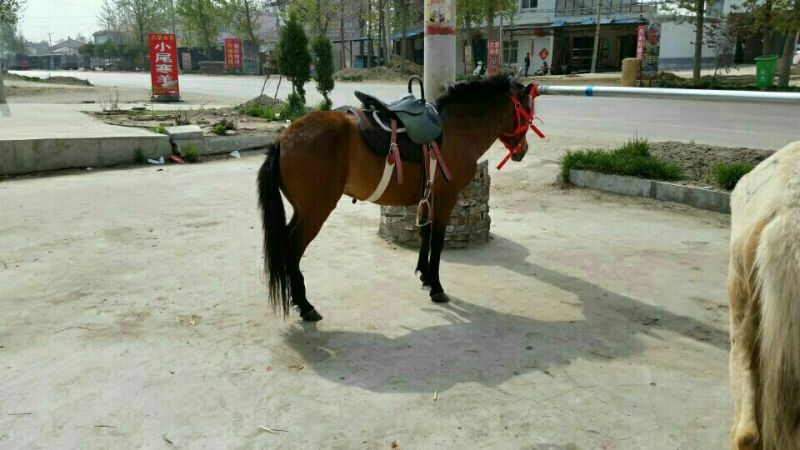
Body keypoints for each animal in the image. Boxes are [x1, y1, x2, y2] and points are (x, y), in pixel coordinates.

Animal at [257, 76, 539, 322]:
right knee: (292, 249)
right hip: (315, 211)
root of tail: (283, 138)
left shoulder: (428, 197)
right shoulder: (446, 198)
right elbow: (437, 240)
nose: (522, 151)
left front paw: (424, 276)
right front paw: (436, 287)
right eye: (528, 110)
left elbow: (425, 233)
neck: (458, 129)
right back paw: (305, 305)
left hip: (302, 210)